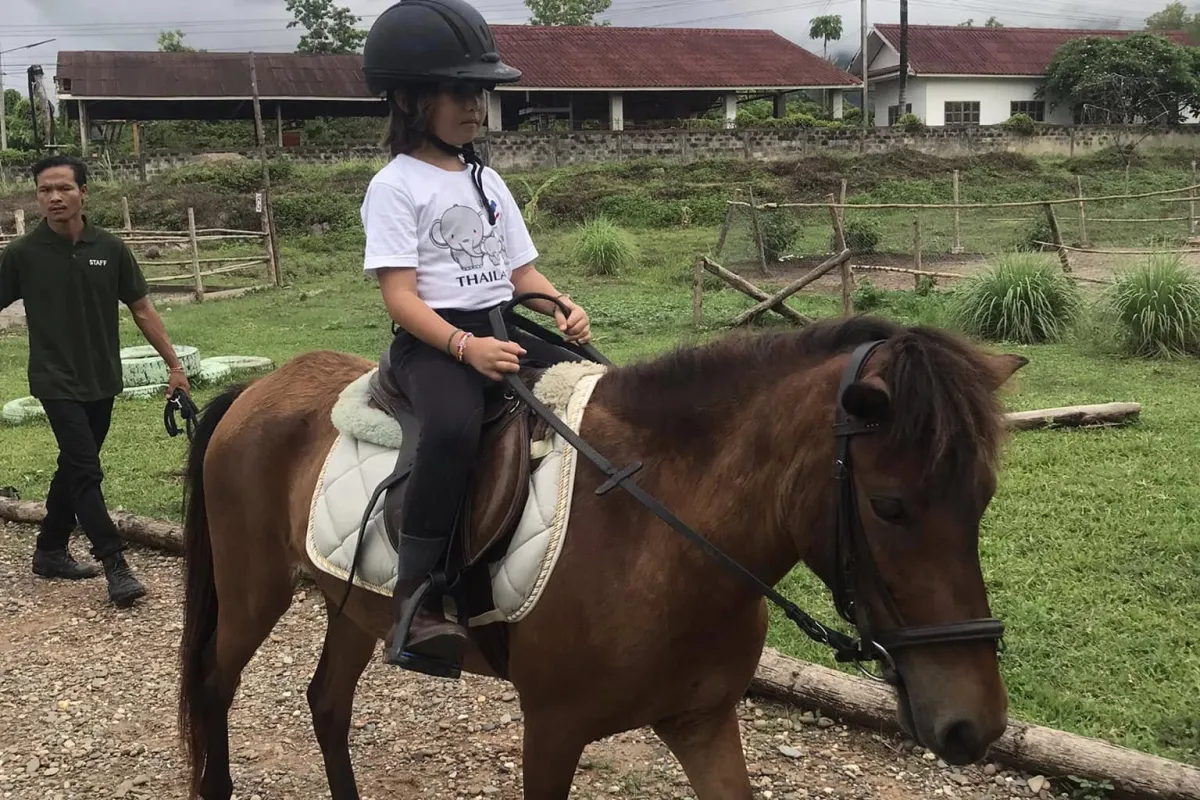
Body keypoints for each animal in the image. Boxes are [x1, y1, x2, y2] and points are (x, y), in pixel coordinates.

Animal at [174, 306, 1027, 800]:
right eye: (890, 507)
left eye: (984, 499)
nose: (974, 725)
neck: (663, 534)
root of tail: (258, 390)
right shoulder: (552, 729)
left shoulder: (702, 721)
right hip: (254, 590)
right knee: (215, 683)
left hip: (354, 604)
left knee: (327, 701)